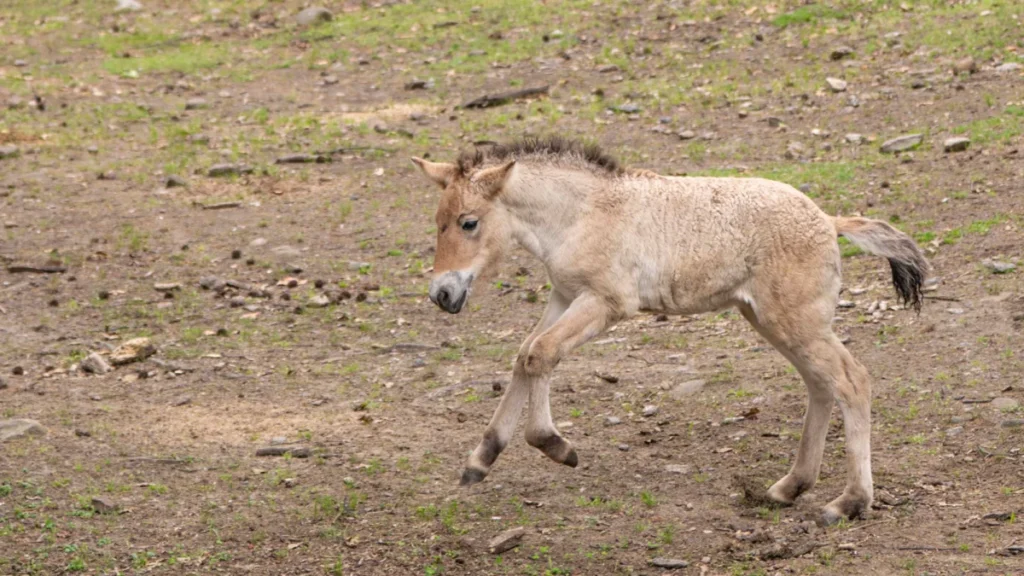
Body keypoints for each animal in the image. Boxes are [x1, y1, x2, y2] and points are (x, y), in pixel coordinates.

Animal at [411, 137, 927, 525]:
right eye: (436, 222)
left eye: (469, 222)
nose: (442, 294)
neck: (582, 213)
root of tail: (828, 220)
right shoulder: (563, 295)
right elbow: (526, 354)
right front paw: (480, 460)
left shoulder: (605, 302)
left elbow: (541, 353)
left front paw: (556, 446)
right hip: (771, 320)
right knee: (821, 386)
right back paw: (788, 487)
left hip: (794, 322)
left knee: (852, 380)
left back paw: (849, 502)